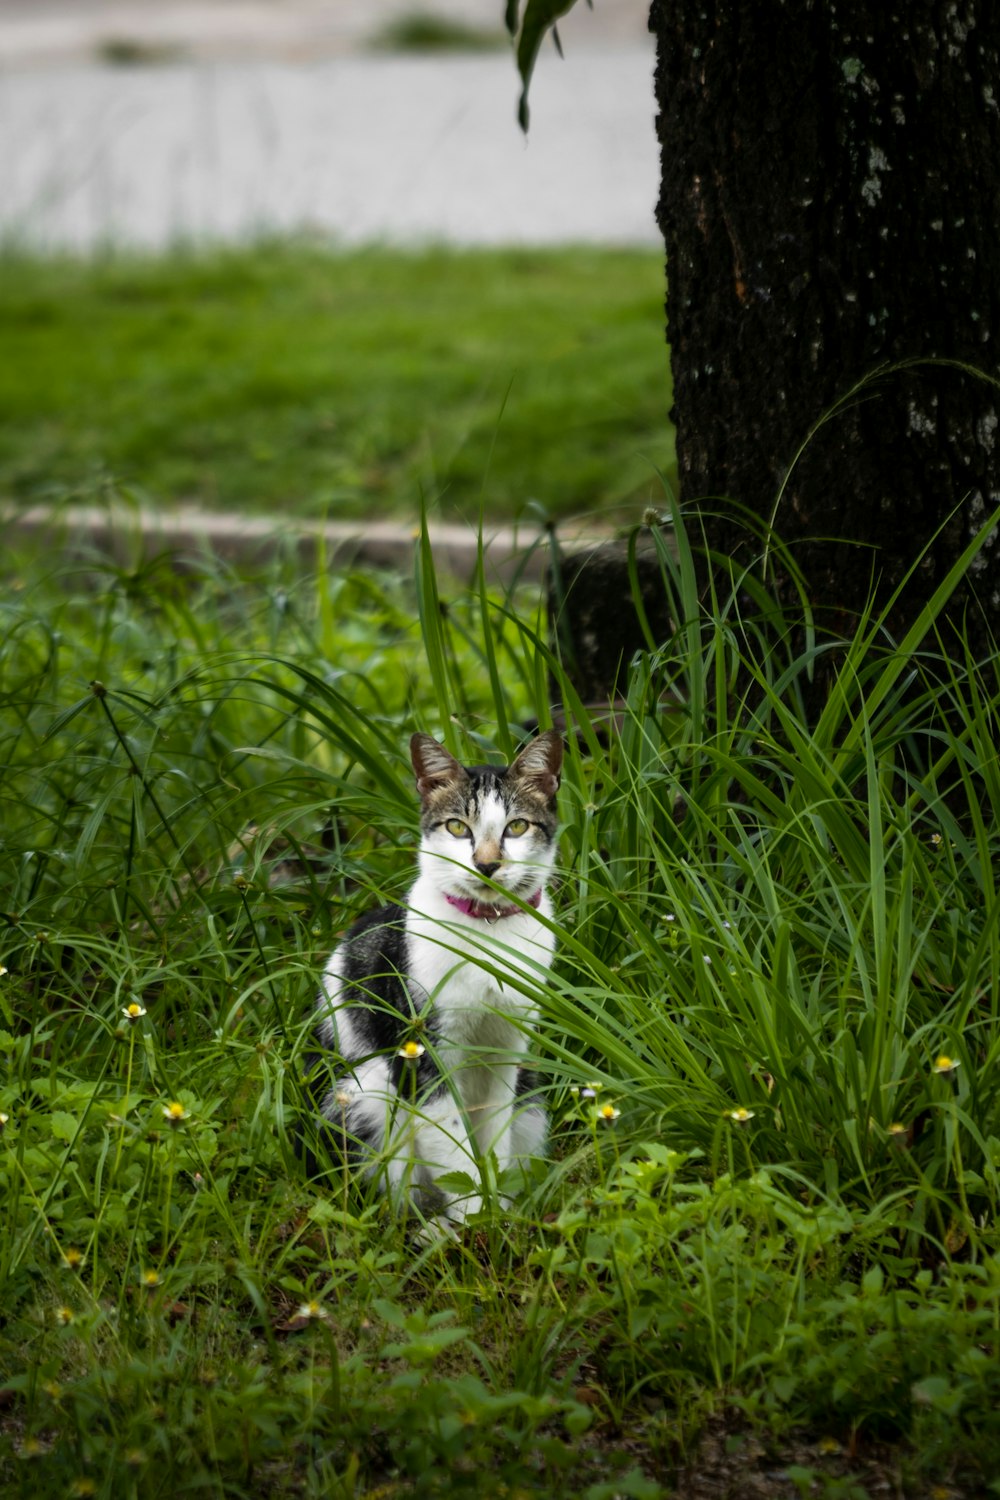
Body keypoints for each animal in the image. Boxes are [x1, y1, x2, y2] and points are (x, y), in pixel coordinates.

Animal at [310, 732, 563, 1236]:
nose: (487, 864)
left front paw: (498, 1213)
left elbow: (492, 1138)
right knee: (394, 1194)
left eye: (517, 827)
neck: (489, 932)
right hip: (365, 1093)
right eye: (458, 828)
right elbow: (454, 1150)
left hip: (529, 1096)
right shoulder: (424, 1056)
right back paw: (429, 1229)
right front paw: (477, 1223)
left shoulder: (506, 1051)